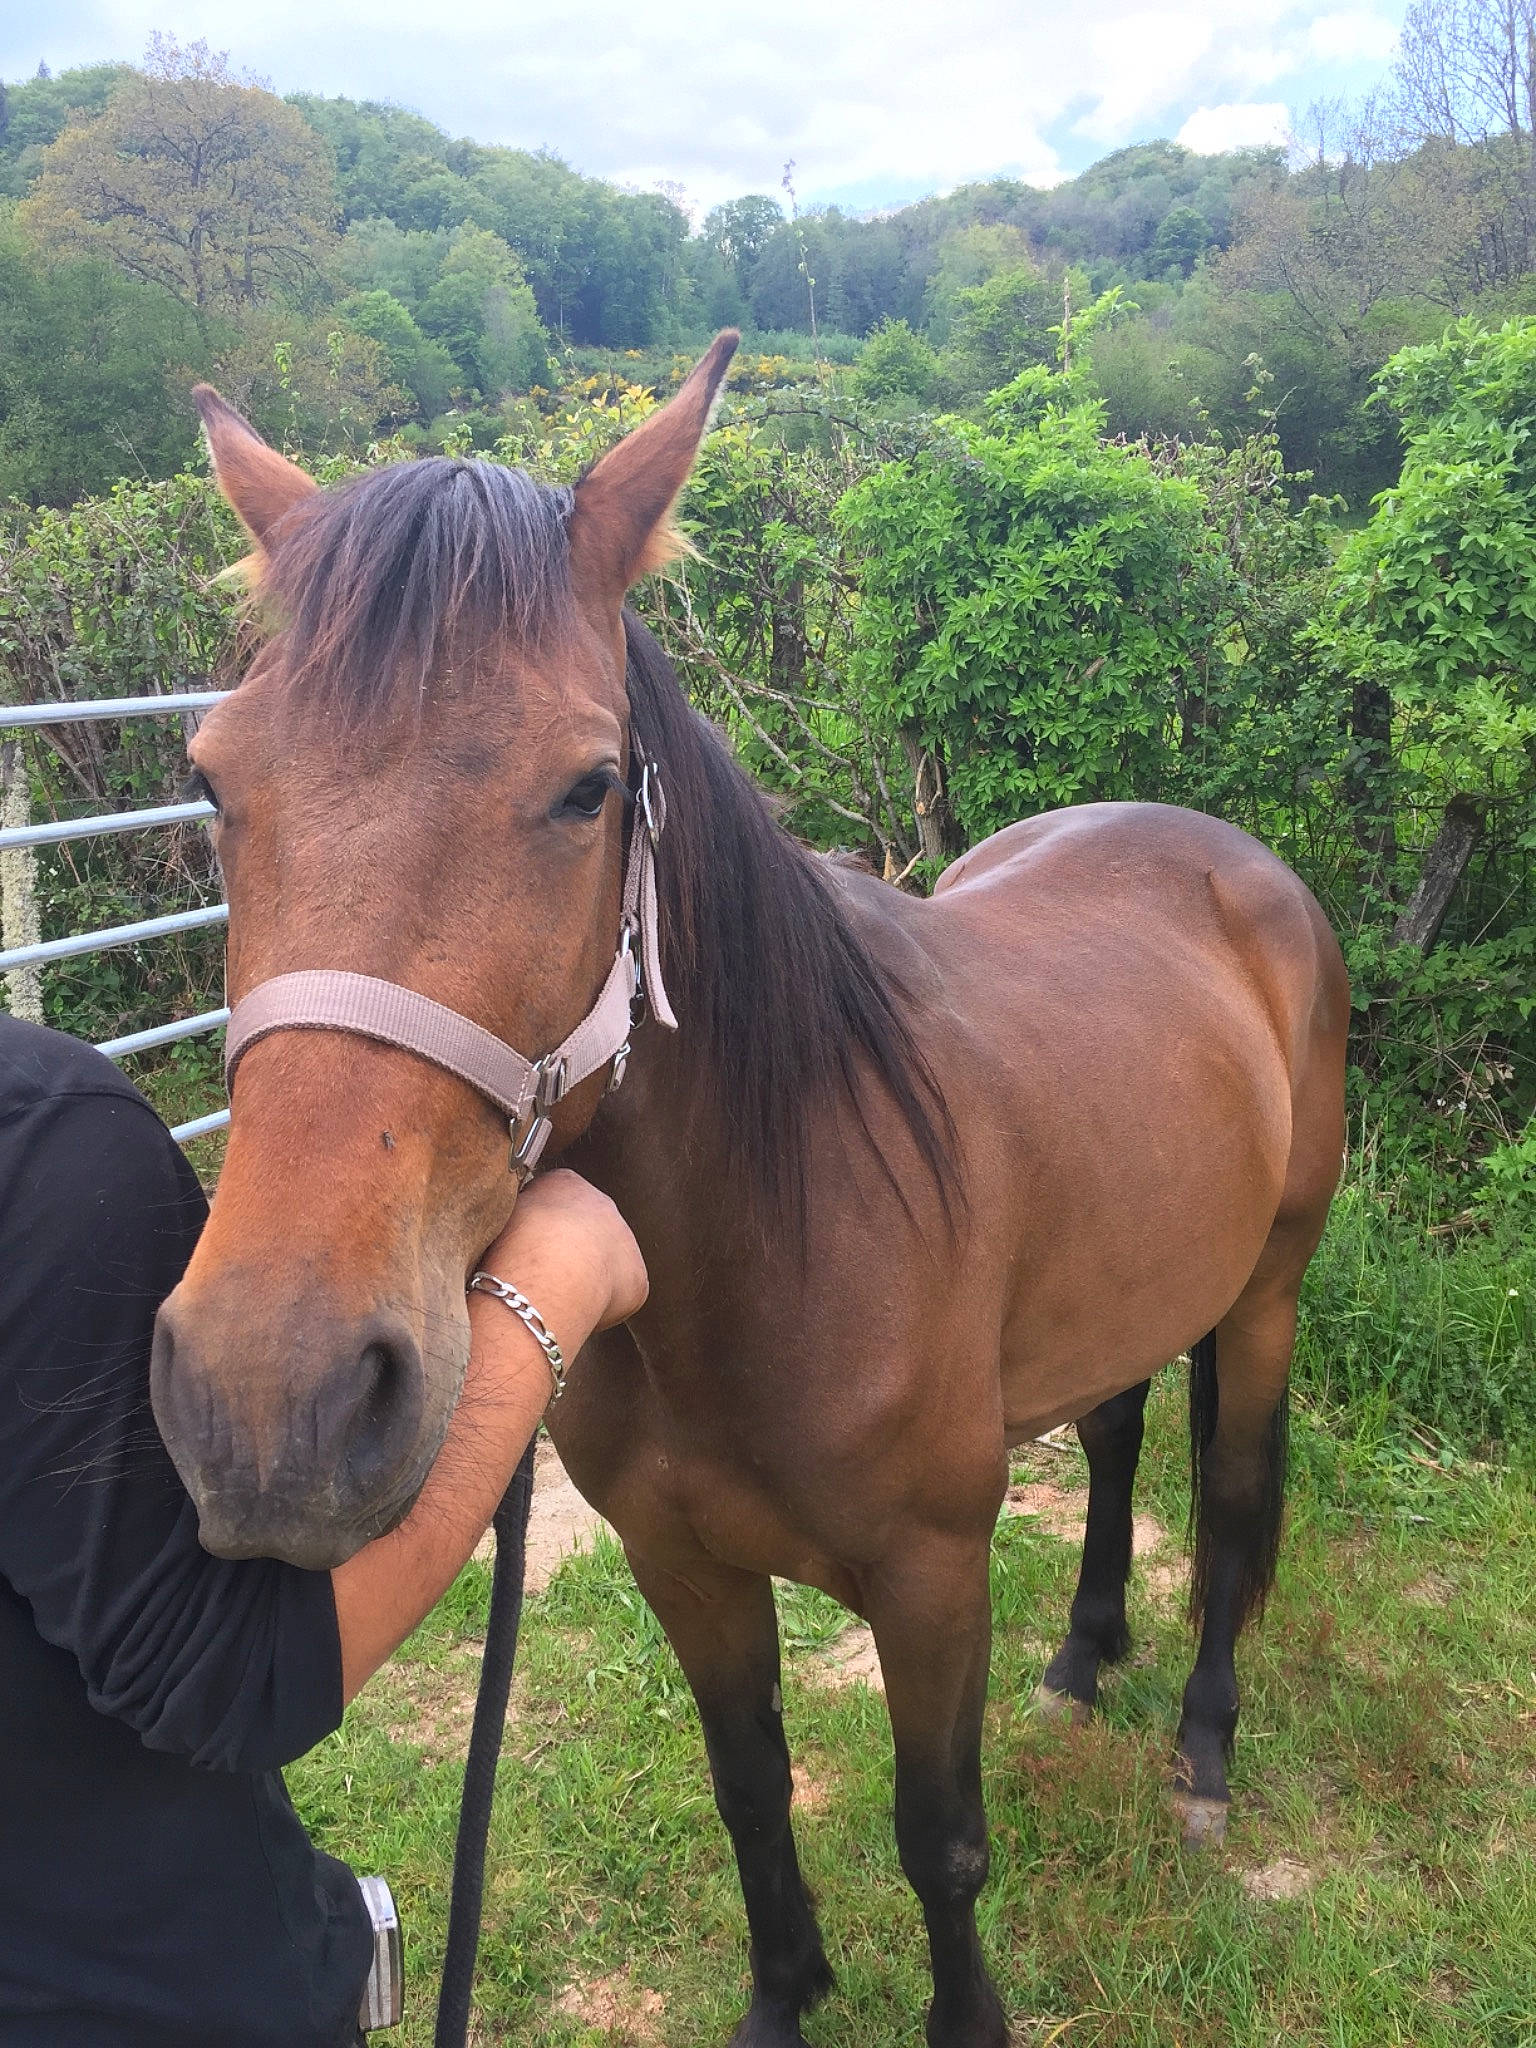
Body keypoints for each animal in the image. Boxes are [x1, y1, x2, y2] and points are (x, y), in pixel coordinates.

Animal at [151, 334, 1349, 2048]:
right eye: (212, 783)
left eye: (588, 789)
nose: (271, 1401)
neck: (776, 1235)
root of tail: (1233, 861)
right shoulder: (683, 1567)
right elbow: (749, 1792)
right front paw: (787, 1997)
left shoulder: (931, 1576)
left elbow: (940, 1838)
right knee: (1120, 1434)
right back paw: (1082, 1660)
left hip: (1264, 1291)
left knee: (1238, 1501)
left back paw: (1199, 1754)